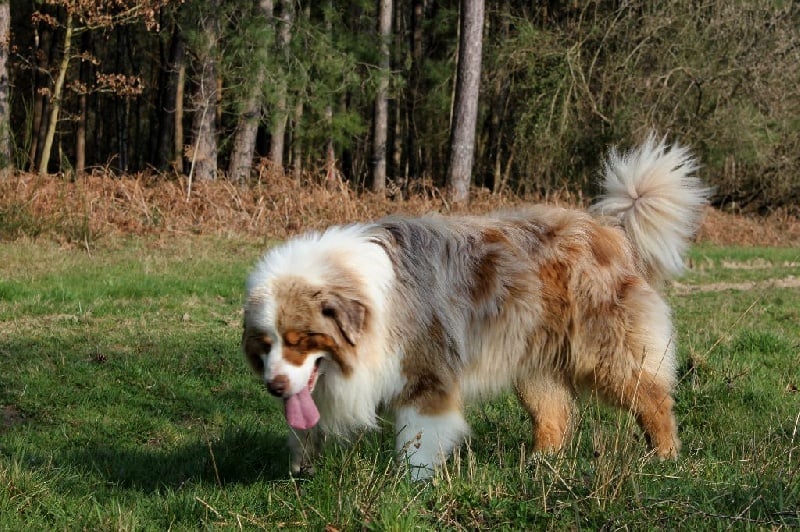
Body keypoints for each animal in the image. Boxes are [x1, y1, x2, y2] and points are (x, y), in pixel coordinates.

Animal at [242, 134, 710, 479]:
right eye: (266, 345)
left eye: (303, 340)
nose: (274, 387)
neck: (367, 302)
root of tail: (611, 232)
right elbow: (306, 427)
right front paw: (301, 469)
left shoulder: (427, 375)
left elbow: (419, 439)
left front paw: (412, 487)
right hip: (533, 359)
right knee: (554, 413)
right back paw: (539, 463)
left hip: (605, 352)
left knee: (652, 398)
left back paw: (664, 457)